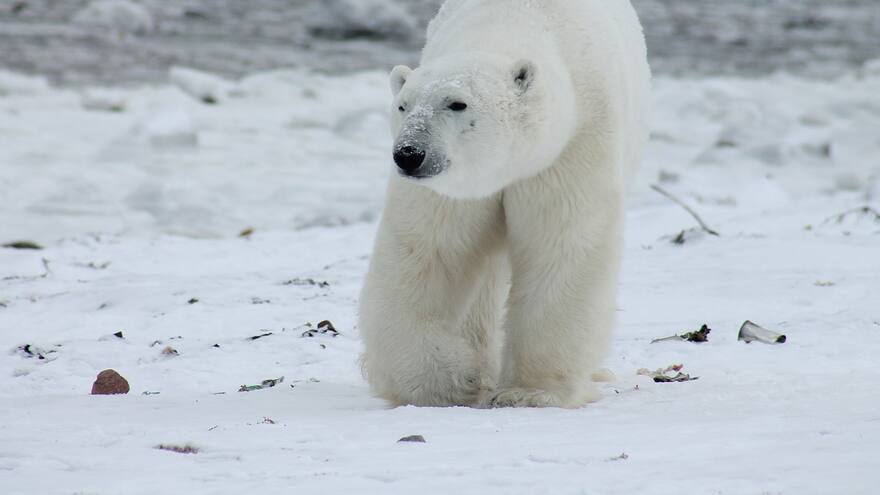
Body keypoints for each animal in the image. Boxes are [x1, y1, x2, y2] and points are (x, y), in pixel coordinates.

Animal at [359, 0, 651, 408]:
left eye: (457, 103)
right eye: (403, 106)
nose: (409, 154)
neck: (510, 20)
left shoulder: (571, 146)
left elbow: (560, 247)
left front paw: (529, 392)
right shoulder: (453, 189)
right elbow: (428, 252)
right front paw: (447, 381)